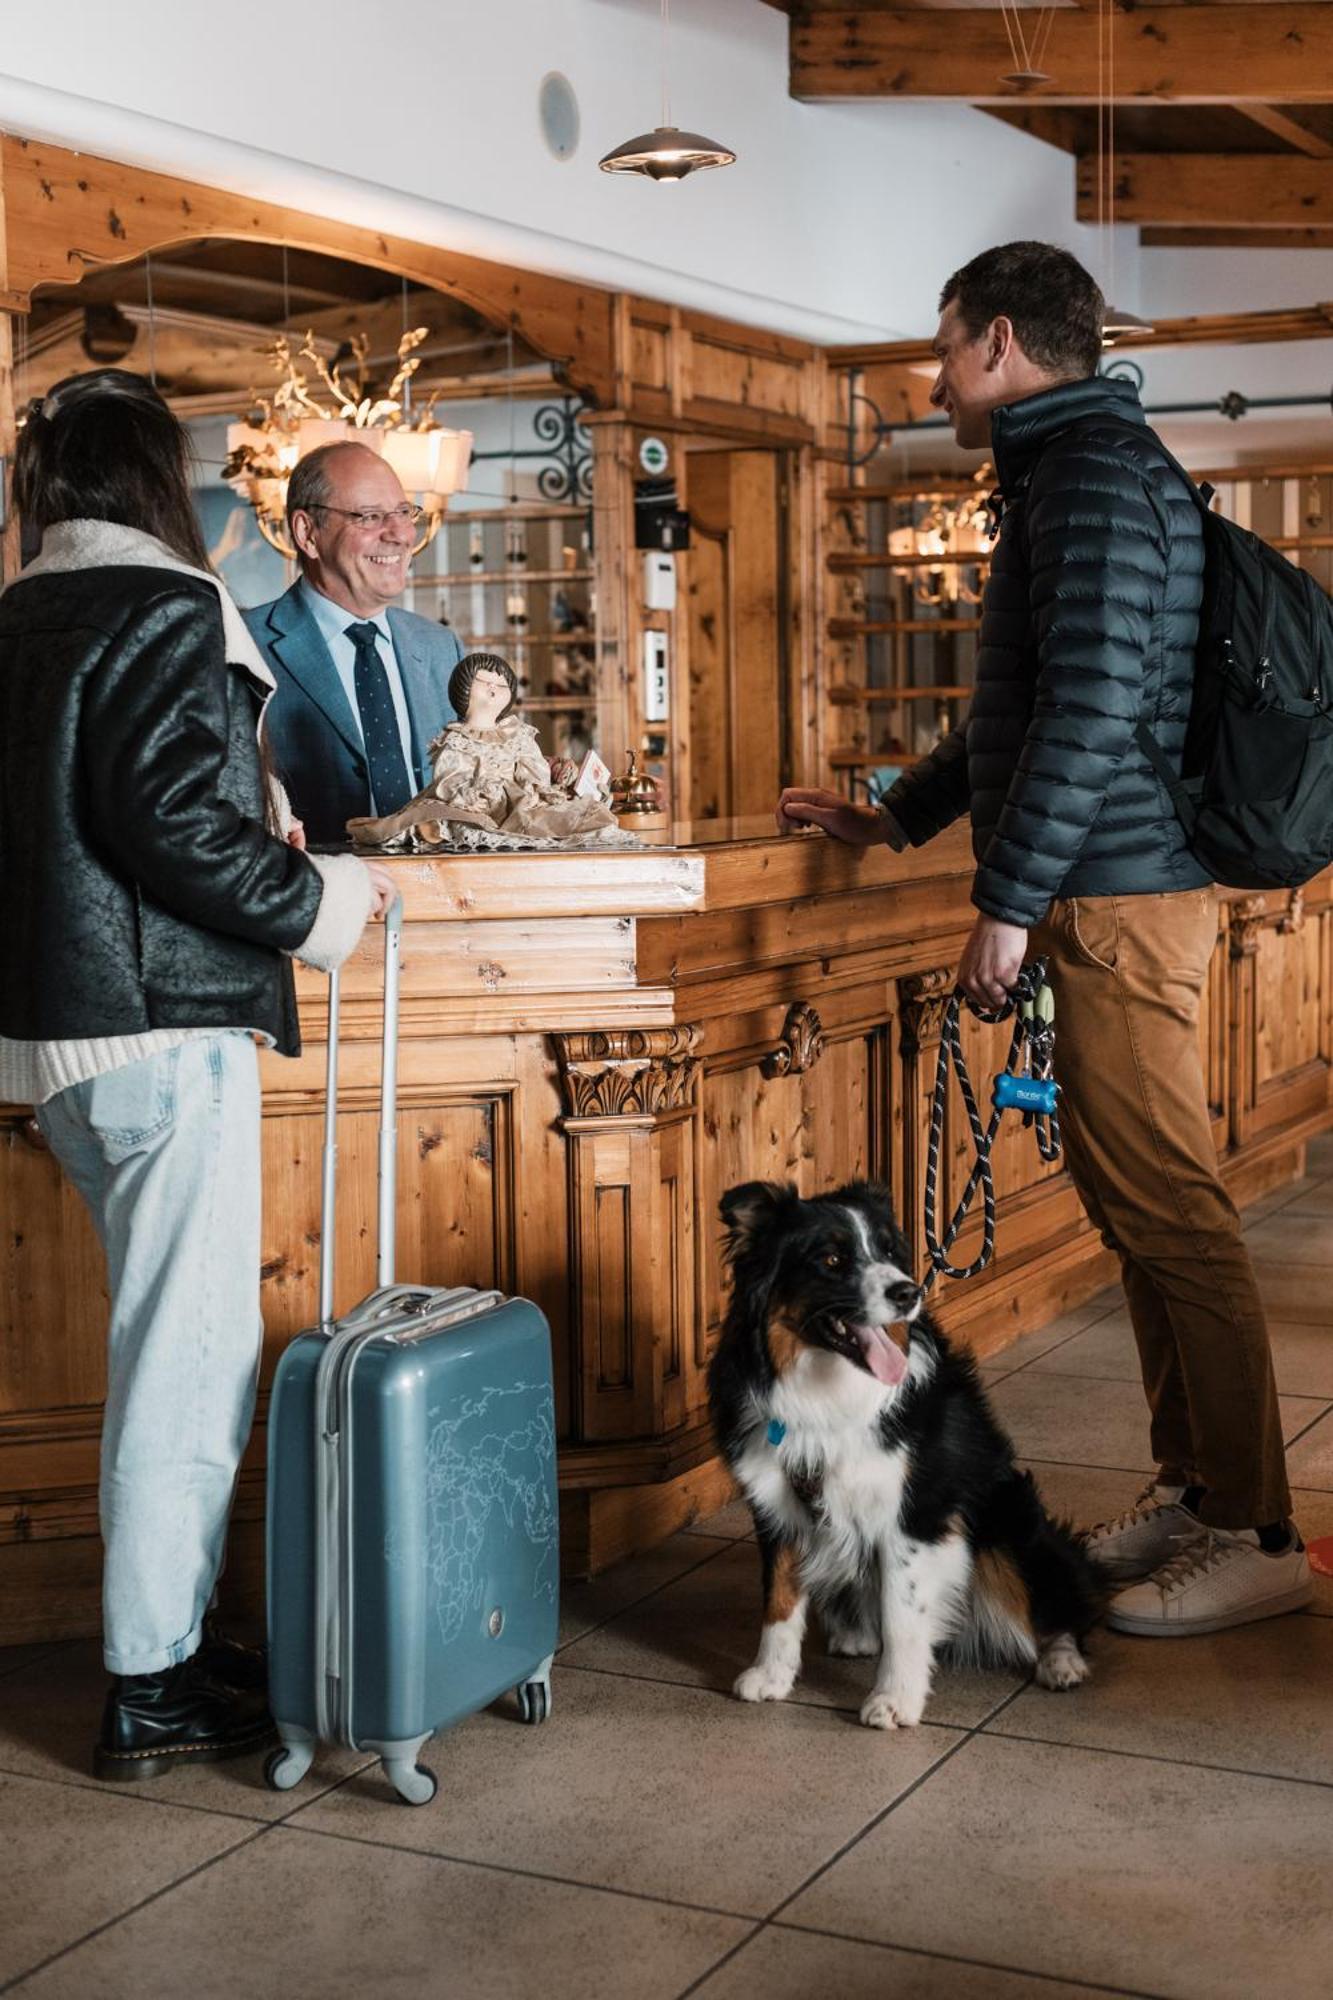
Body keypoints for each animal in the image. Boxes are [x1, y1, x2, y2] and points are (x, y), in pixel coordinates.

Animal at [712, 1176, 1104, 1728]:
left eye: (889, 1252)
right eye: (831, 1260)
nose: (908, 1292)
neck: (826, 1391)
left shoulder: (915, 1512)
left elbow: (902, 1614)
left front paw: (895, 1700)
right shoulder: (778, 1505)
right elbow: (780, 1597)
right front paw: (770, 1675)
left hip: (1009, 1523)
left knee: (1059, 1607)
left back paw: (1062, 1662)